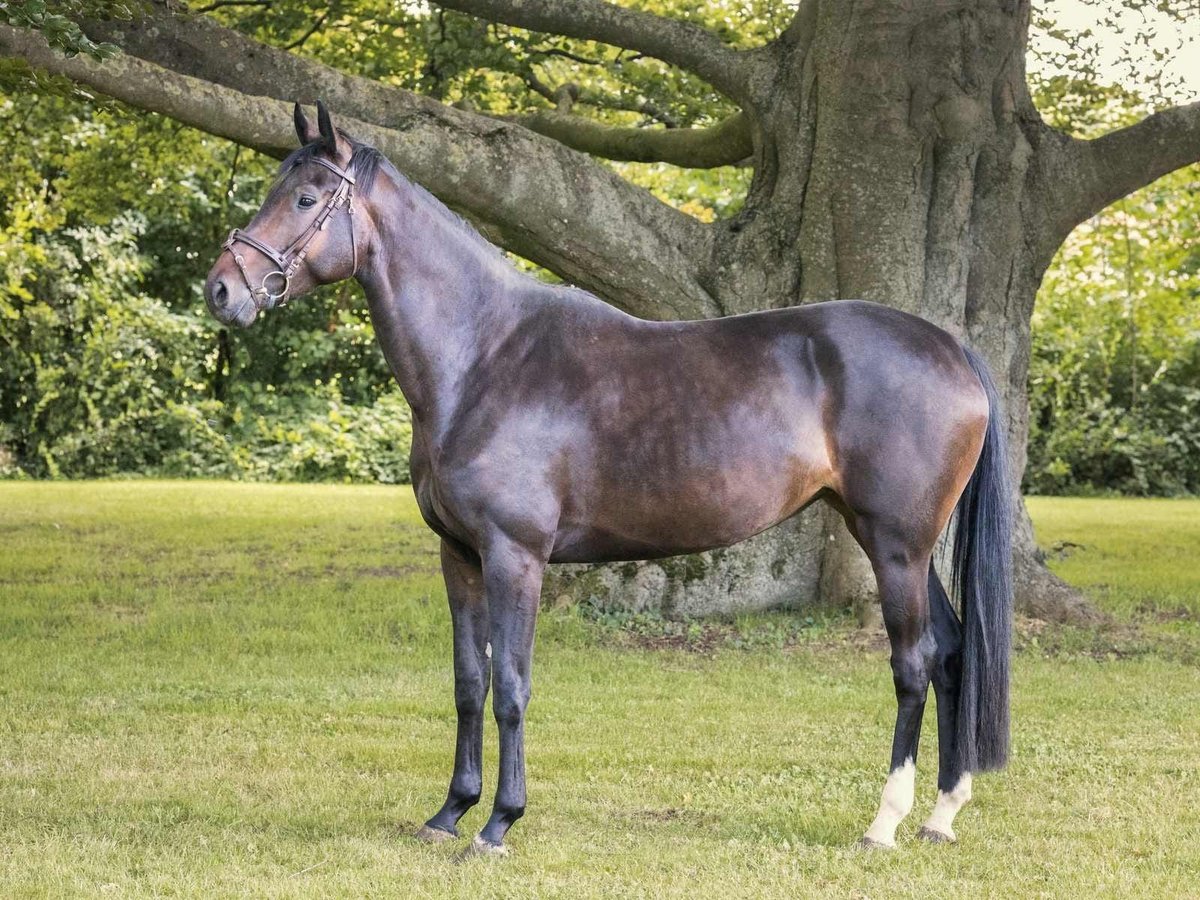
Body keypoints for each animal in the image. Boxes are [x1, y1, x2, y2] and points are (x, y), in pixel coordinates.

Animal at [206, 100, 1012, 859]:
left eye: (305, 198)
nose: (221, 290)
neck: (485, 356)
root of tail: (951, 349)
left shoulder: (515, 557)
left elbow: (512, 689)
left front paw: (498, 823)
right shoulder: (460, 556)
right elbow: (469, 685)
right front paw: (448, 814)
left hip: (895, 545)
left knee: (914, 662)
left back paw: (885, 823)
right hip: (902, 544)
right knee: (952, 652)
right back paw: (940, 815)